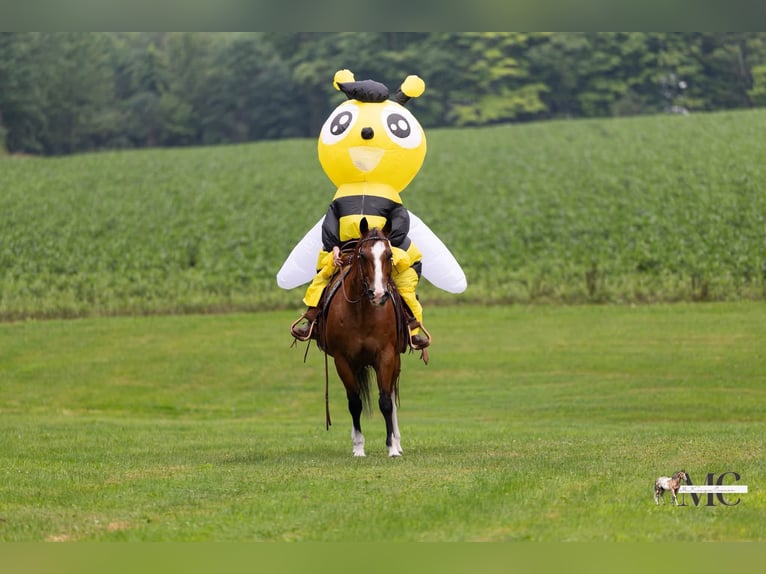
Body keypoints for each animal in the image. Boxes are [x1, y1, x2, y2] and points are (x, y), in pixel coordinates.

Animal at [318, 217, 409, 457]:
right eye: (362, 256)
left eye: (389, 255)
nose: (377, 294)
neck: (362, 313)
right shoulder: (342, 360)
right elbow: (354, 402)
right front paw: (358, 446)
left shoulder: (386, 355)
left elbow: (385, 401)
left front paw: (391, 447)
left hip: (395, 360)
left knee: (392, 396)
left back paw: (397, 442)